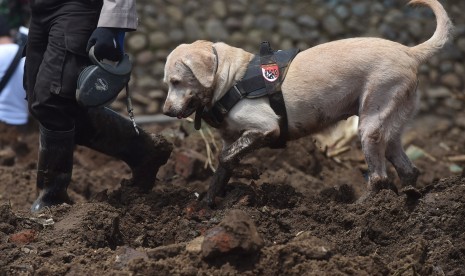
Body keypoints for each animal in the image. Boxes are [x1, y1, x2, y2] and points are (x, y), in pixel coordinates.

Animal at [162, 0, 450, 205]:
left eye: (176, 81)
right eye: (167, 83)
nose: (165, 111)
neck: (232, 76)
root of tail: (410, 52)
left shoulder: (266, 128)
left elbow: (225, 158)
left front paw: (249, 173)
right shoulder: (232, 139)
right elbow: (223, 166)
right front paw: (209, 203)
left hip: (370, 126)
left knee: (378, 177)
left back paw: (361, 208)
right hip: (390, 128)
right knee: (408, 169)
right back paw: (408, 197)